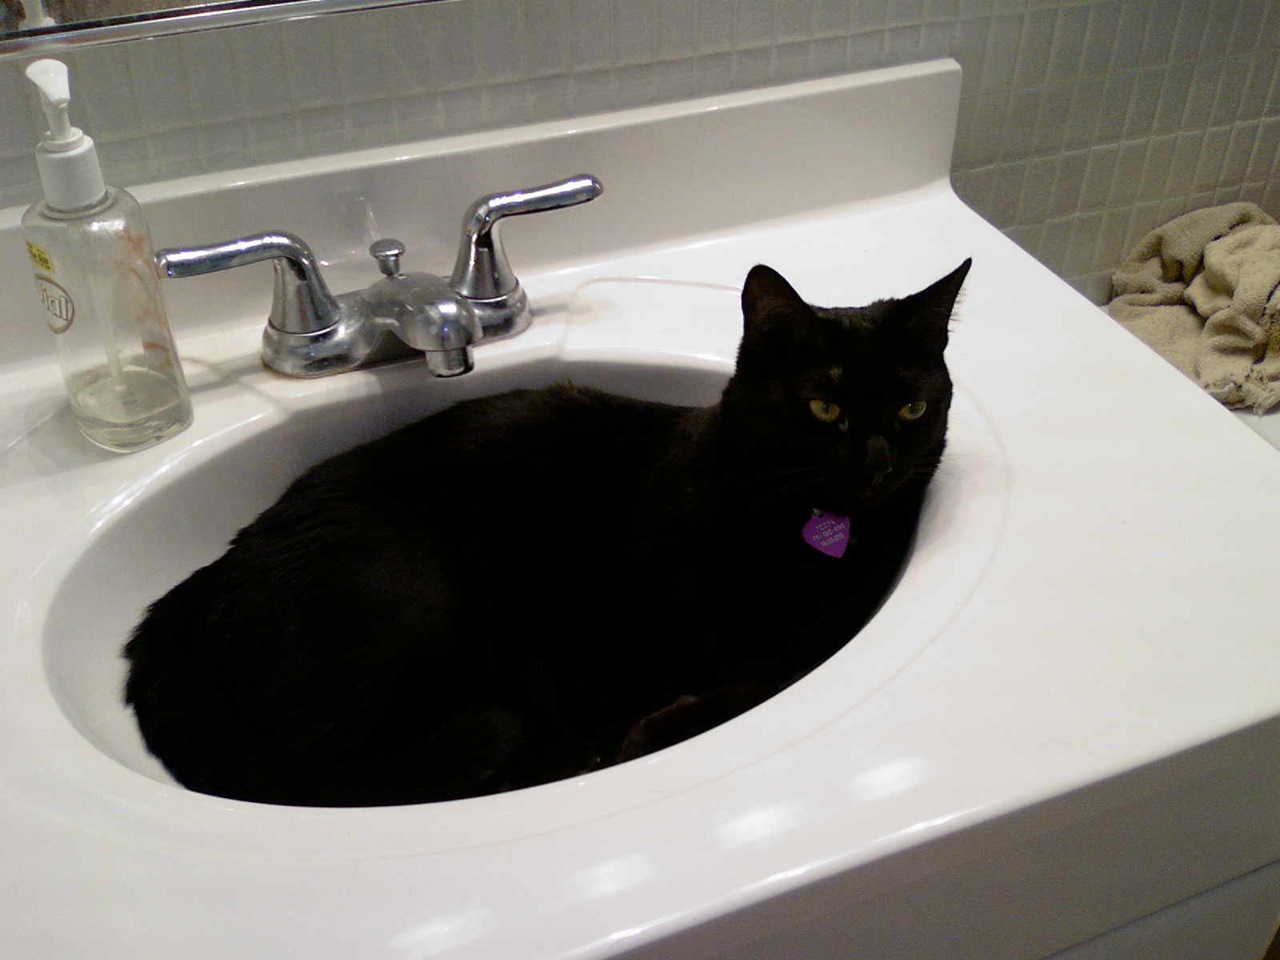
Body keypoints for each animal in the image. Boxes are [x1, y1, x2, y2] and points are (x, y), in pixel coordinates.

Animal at [127, 259, 967, 808]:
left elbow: (767, 673)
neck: (805, 542)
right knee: (325, 772)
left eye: (912, 408)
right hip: (407, 587)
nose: (878, 462)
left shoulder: (830, 627)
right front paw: (638, 735)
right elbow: (728, 682)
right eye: (824, 407)